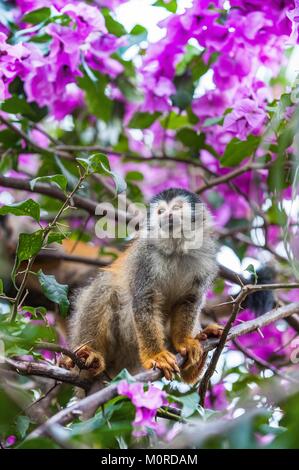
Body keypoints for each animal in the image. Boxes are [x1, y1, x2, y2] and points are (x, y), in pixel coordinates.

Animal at [62, 189, 223, 384]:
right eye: (161, 211)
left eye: (177, 208)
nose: (168, 215)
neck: (176, 249)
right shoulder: (144, 258)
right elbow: (143, 300)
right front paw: (156, 356)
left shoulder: (206, 259)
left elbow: (190, 300)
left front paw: (184, 341)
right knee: (106, 287)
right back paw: (90, 355)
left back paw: (197, 358)